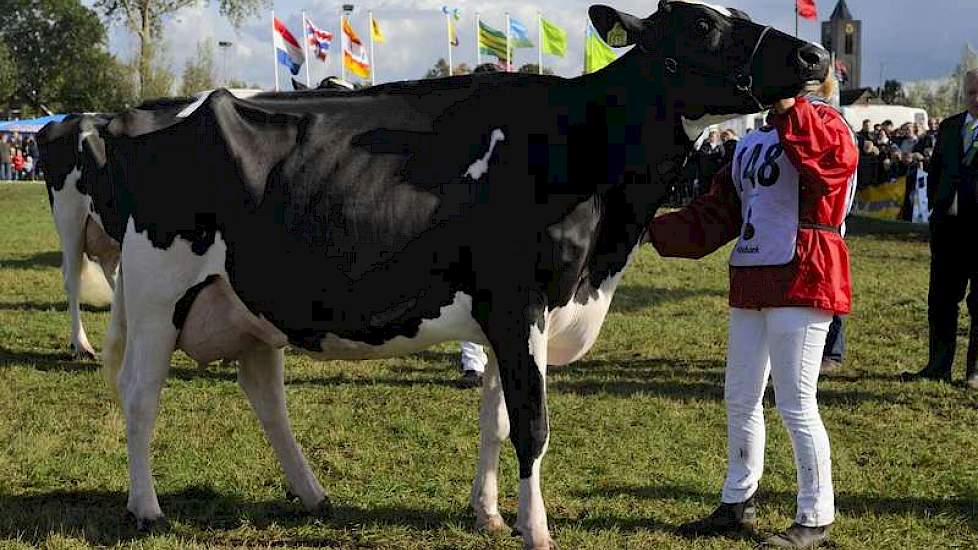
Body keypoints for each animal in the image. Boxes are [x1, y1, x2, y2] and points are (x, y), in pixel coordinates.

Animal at [87, 3, 824, 548]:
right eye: (701, 25)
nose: (814, 58)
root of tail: (143, 117)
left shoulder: (513, 316)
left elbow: (494, 419)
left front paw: (490, 515)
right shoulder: (518, 300)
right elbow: (532, 424)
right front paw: (537, 531)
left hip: (247, 305)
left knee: (265, 395)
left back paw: (313, 494)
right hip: (156, 294)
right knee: (140, 393)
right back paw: (146, 508)